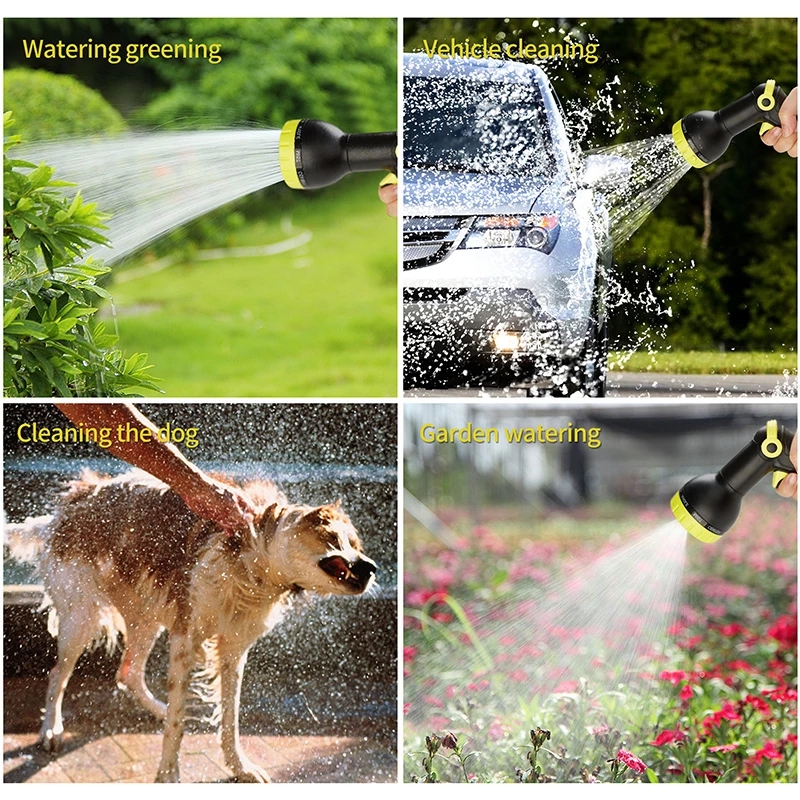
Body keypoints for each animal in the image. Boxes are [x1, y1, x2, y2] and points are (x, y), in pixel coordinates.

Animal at [8, 468, 378, 780]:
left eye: (356, 544)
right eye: (336, 539)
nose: (372, 567)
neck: (251, 558)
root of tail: (69, 505)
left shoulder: (233, 649)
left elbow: (230, 719)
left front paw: (239, 767)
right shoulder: (186, 640)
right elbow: (177, 727)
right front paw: (168, 774)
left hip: (146, 616)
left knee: (128, 673)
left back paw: (157, 707)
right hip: (82, 616)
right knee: (58, 674)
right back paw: (51, 730)